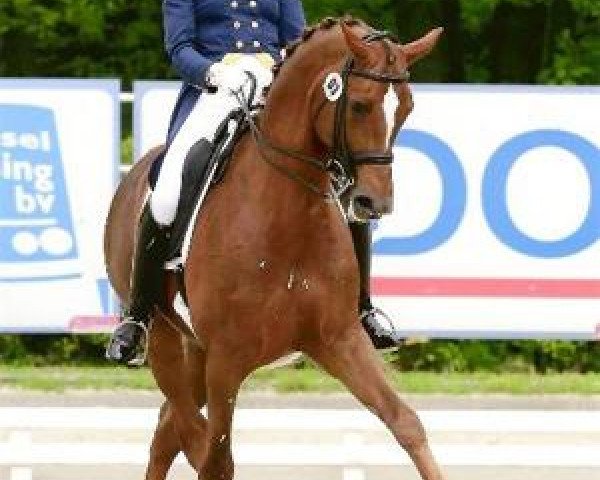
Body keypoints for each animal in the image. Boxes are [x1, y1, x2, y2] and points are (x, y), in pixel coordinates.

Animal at [105, 17, 446, 480]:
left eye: (406, 107)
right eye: (359, 105)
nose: (374, 203)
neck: (288, 218)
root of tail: (136, 172)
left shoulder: (340, 339)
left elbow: (406, 422)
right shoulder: (227, 360)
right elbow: (217, 459)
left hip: (196, 351)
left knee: (167, 430)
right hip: (164, 339)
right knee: (184, 428)